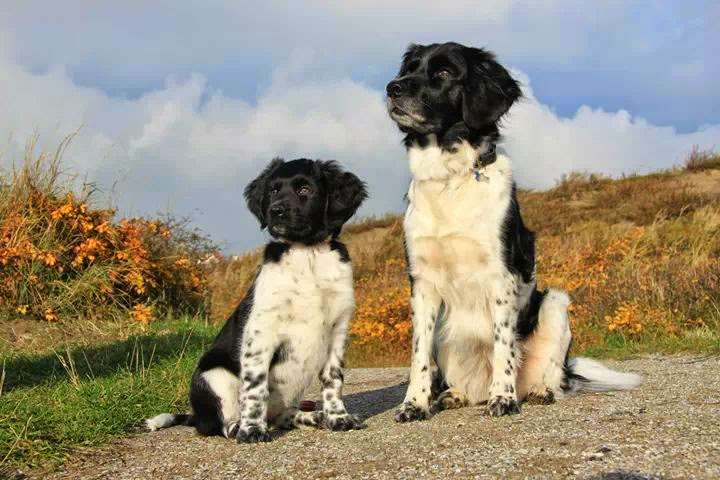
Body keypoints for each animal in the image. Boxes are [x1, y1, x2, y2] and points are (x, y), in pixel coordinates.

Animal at [148, 158, 368, 442]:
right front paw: (252, 429)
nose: (276, 211)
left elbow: (333, 379)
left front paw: (338, 418)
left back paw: (311, 416)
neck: (307, 253)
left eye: (305, 190)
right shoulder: (262, 332)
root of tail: (198, 416)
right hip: (213, 375)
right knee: (221, 424)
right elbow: (255, 386)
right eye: (273, 190)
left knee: (282, 417)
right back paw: (239, 427)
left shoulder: (338, 330)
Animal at [386, 43, 644, 422]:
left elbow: (503, 344)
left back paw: (538, 391)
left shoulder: (501, 277)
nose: (393, 88)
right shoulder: (422, 283)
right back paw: (455, 395)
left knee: (553, 375)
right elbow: (419, 355)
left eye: (444, 72)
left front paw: (504, 398)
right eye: (410, 68)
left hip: (555, 303)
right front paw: (414, 403)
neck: (452, 179)